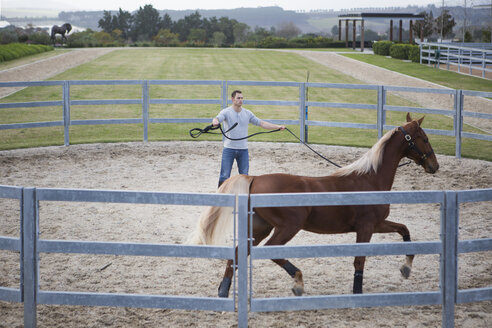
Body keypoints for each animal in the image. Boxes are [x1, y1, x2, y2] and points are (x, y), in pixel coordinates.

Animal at [187, 114, 438, 296]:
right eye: (425, 138)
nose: (434, 166)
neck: (369, 179)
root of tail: (255, 178)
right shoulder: (366, 227)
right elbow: (359, 260)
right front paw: (357, 293)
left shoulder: (377, 224)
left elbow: (404, 230)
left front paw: (406, 268)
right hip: (288, 227)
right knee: (271, 250)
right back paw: (298, 281)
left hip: (261, 227)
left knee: (239, 254)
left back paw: (223, 291)